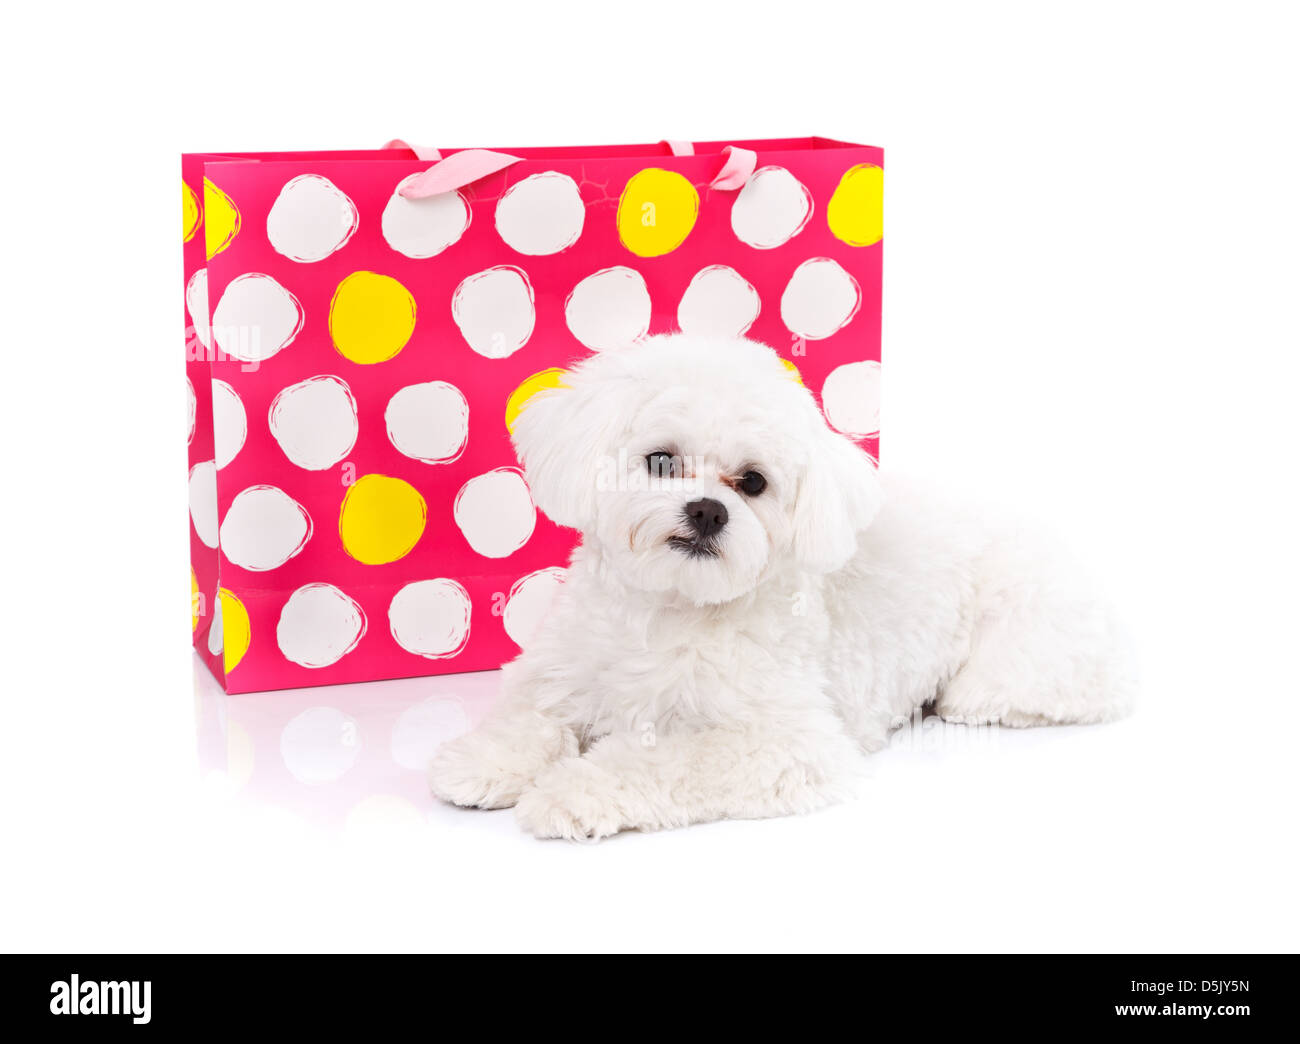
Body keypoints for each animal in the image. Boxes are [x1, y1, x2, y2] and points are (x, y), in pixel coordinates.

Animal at [431, 335, 1133, 842]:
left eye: (753, 482)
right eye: (661, 460)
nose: (708, 510)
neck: (671, 609)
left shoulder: (783, 744)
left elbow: (661, 760)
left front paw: (573, 791)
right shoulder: (560, 669)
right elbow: (531, 719)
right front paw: (485, 762)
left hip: (1017, 656)